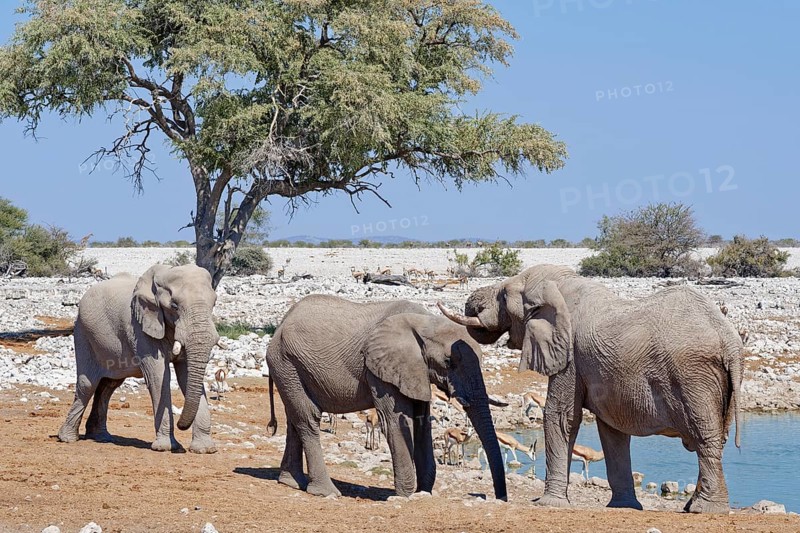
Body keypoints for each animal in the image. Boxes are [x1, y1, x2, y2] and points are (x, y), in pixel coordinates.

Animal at [57, 264, 220, 453]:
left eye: (214, 303)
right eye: (174, 305)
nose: (182, 426)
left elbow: (186, 377)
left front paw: (205, 449)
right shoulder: (140, 327)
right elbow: (159, 376)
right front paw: (166, 447)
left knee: (108, 385)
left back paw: (101, 437)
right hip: (83, 333)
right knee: (88, 384)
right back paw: (67, 438)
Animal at [265, 294, 508, 500]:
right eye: (449, 362)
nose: (499, 498)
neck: (426, 320)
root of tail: (281, 324)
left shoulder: (415, 371)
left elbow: (421, 422)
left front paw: (423, 492)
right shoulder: (380, 369)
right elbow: (397, 421)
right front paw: (405, 496)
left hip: (290, 369)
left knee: (295, 419)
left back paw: (291, 482)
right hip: (287, 363)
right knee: (308, 418)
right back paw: (327, 492)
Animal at [439, 264, 743, 513]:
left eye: (503, 296)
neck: (562, 284)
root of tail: (729, 339)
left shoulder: (570, 356)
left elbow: (561, 417)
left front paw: (549, 504)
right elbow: (612, 430)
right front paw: (623, 507)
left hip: (693, 376)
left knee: (705, 436)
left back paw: (705, 510)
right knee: (716, 437)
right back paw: (694, 506)